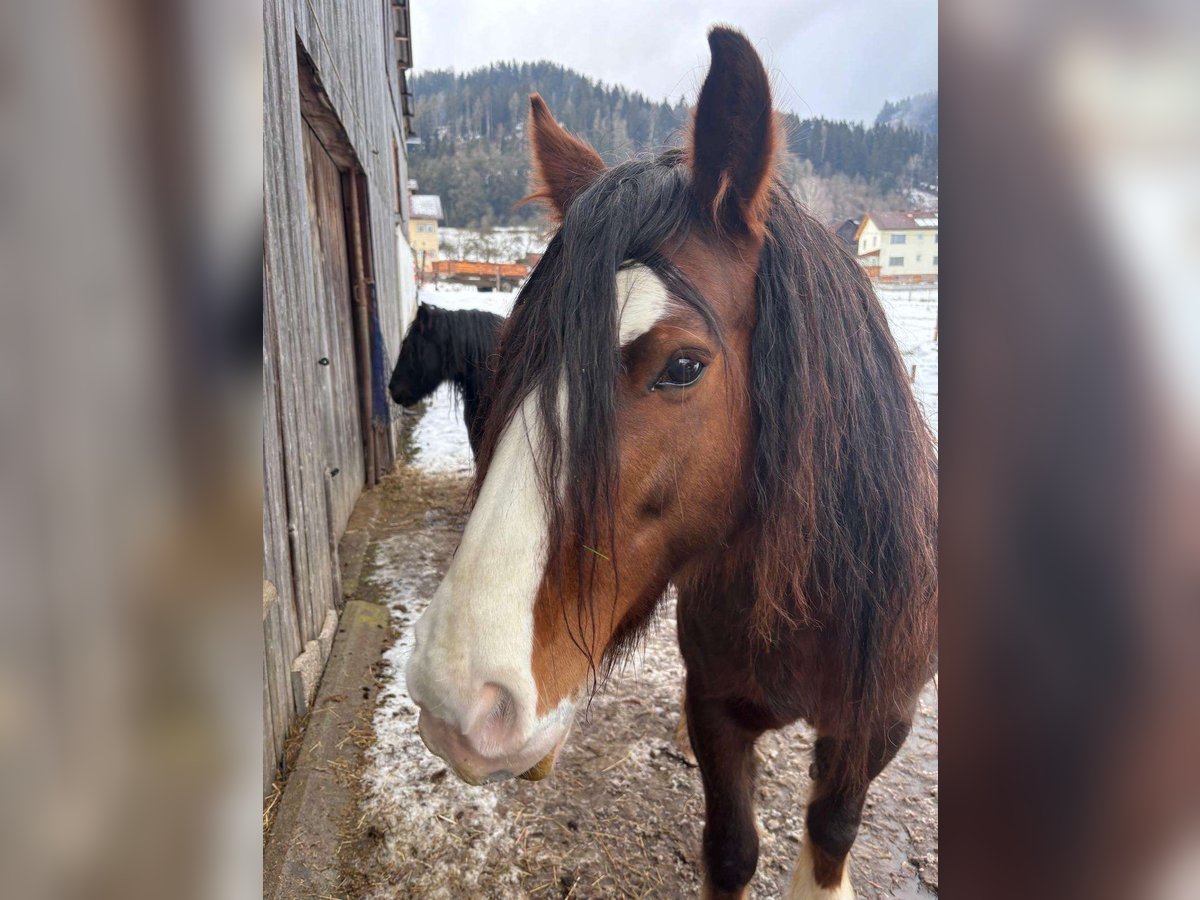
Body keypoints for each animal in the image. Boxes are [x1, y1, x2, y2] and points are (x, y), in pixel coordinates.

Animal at [403, 26, 936, 897]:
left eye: (683, 366)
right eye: (519, 351)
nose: (461, 700)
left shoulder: (876, 723)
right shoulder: (715, 708)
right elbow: (731, 849)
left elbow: (830, 833)